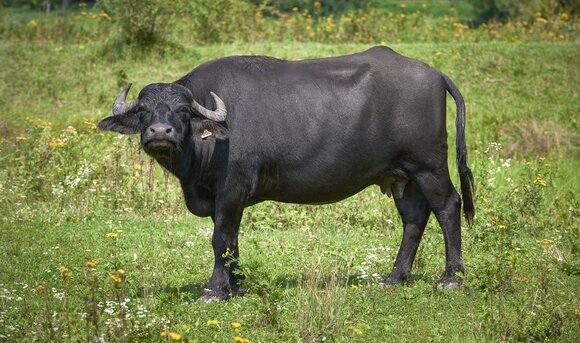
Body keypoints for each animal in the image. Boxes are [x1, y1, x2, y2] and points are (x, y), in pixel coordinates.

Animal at [98, 47, 472, 302]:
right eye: (144, 110)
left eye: (181, 111)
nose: (160, 133)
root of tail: (435, 75)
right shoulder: (226, 199)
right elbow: (233, 241)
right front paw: (236, 286)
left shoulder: (231, 190)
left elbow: (220, 240)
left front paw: (215, 290)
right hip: (402, 176)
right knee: (414, 218)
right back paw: (396, 277)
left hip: (429, 166)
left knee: (448, 207)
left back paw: (451, 278)